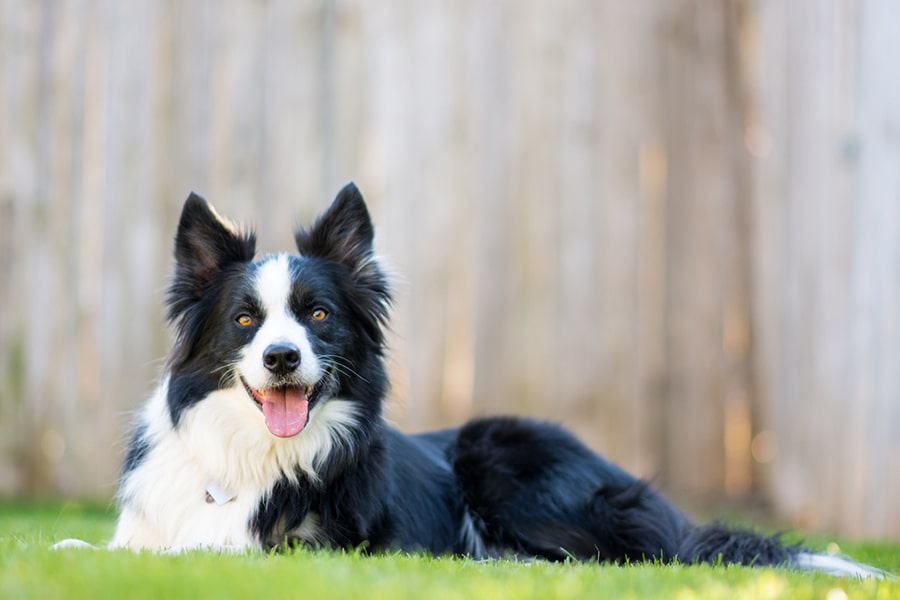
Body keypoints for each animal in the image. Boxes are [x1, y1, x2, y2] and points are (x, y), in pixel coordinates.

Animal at [67, 183, 884, 576]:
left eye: (318, 315)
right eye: (245, 320)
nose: (282, 359)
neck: (246, 457)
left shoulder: (321, 547)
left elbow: (214, 547)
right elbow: (114, 548)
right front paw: (75, 550)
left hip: (502, 454)